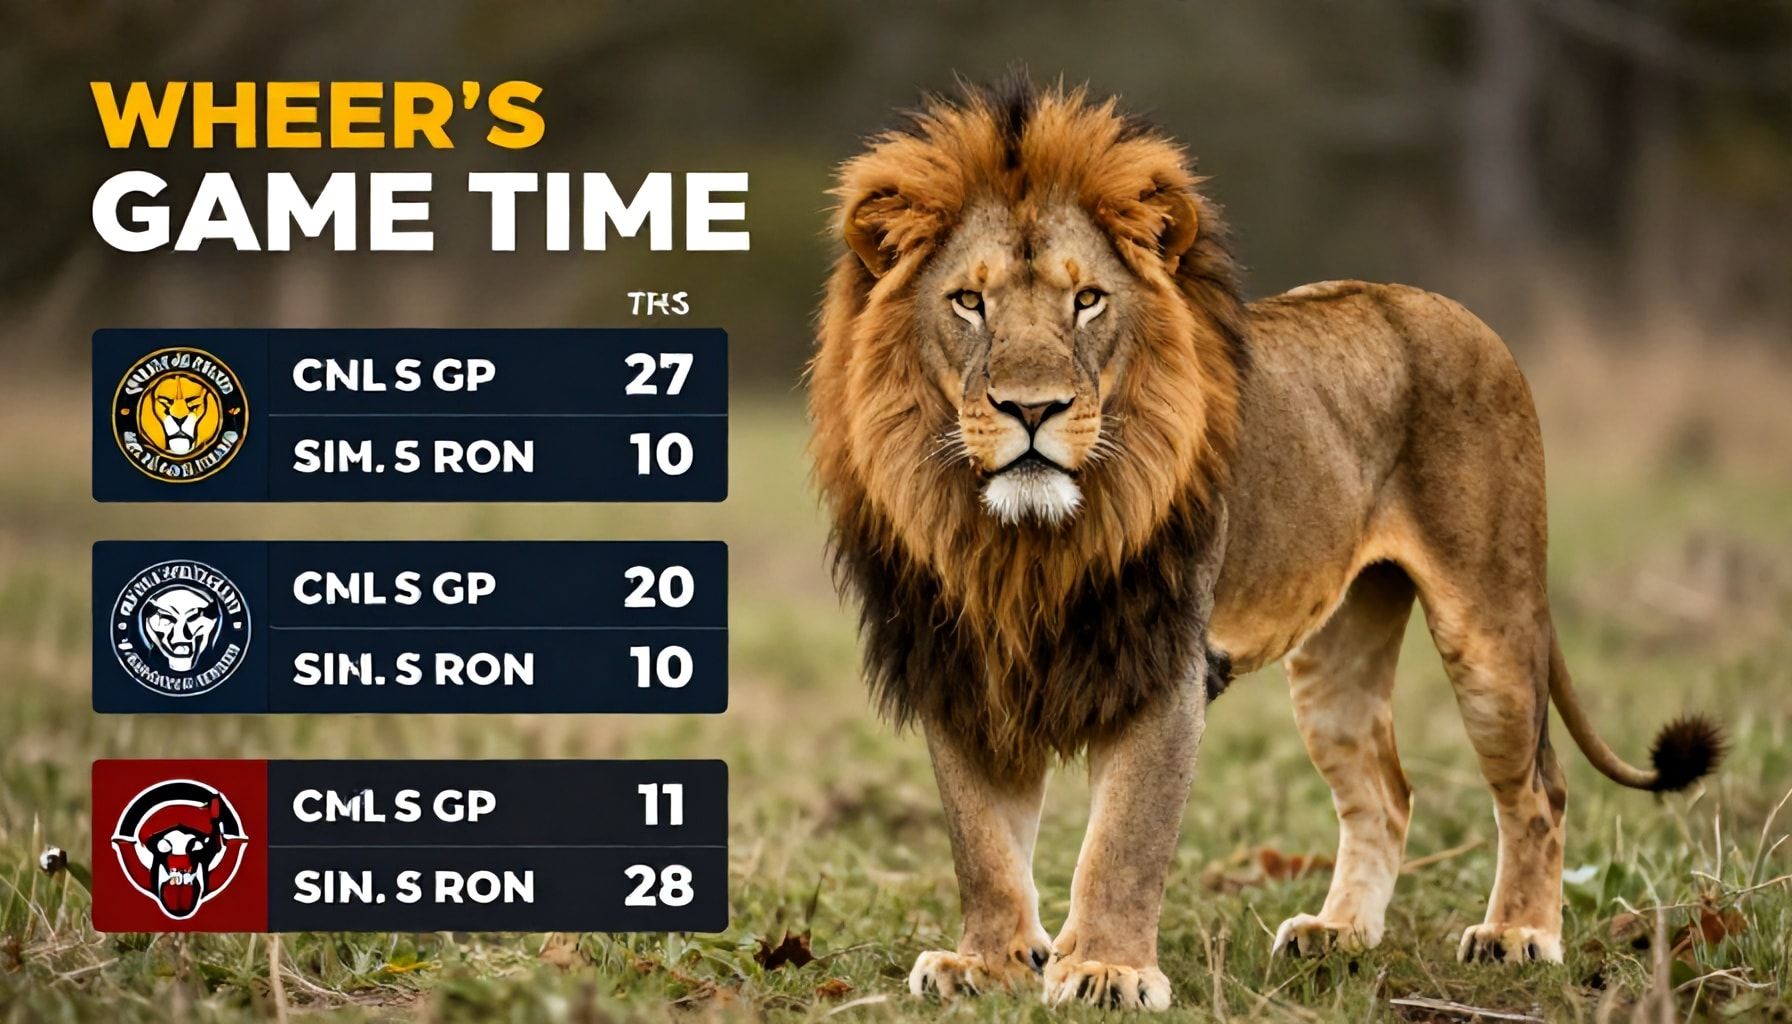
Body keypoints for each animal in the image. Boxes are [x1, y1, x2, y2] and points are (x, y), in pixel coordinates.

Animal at [807, 76, 1723, 1011]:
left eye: (1087, 299)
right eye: (969, 301)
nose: (1033, 409)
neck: (1022, 543)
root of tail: (1453, 309)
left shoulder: (1162, 664)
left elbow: (1123, 841)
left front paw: (1106, 970)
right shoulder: (959, 665)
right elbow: (983, 844)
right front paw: (987, 965)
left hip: (1492, 626)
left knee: (1539, 787)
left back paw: (1519, 935)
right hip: (1338, 656)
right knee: (1386, 794)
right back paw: (1339, 935)